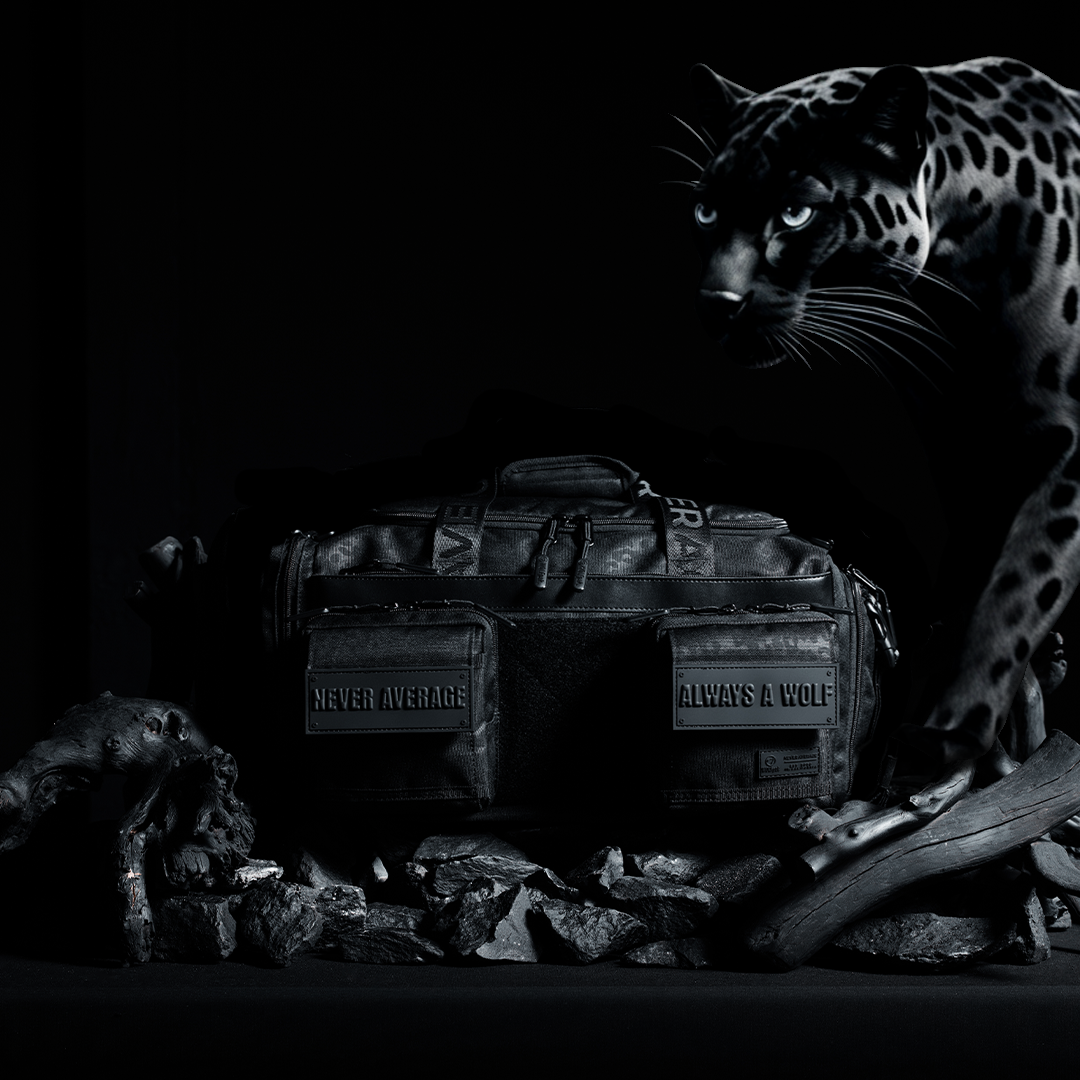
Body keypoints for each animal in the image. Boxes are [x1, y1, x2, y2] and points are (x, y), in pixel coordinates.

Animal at [673, 57, 1080, 769]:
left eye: (796, 213)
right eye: (706, 210)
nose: (717, 301)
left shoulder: (1062, 443)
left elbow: (1021, 578)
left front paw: (952, 724)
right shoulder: (954, 440)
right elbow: (977, 552)